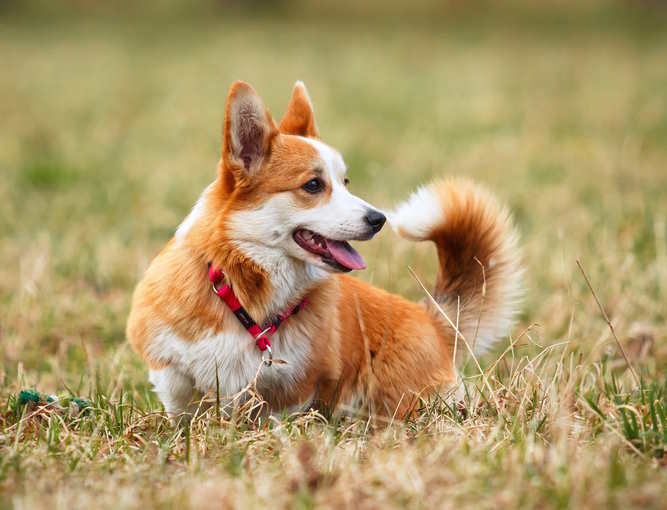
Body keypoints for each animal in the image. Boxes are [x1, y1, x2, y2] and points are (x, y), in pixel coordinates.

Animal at [125, 79, 520, 418]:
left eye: (345, 182)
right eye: (314, 185)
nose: (379, 219)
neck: (247, 295)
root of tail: (433, 319)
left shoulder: (297, 386)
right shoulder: (168, 363)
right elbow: (180, 395)